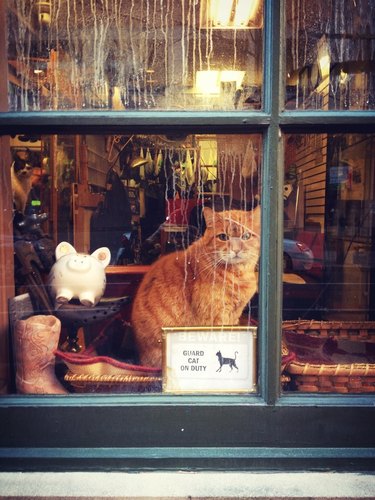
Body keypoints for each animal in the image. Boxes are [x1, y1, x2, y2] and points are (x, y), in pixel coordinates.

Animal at [132, 206, 262, 368]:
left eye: (246, 236)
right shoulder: (217, 318)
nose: (236, 250)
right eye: (223, 237)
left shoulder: (234, 315)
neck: (237, 275)